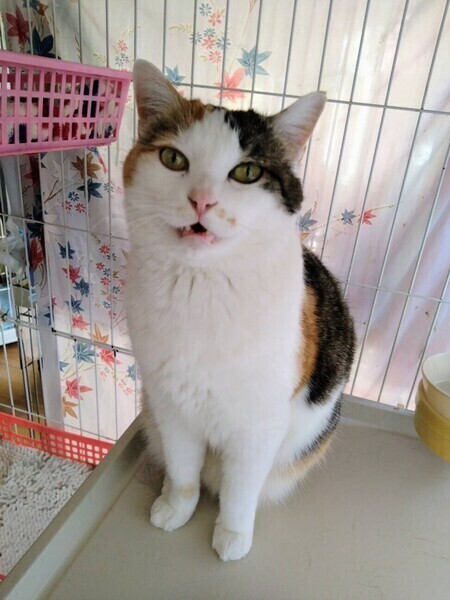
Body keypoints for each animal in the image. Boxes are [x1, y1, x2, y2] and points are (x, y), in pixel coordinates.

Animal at [123, 60, 355, 562]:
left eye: (246, 172)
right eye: (173, 159)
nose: (202, 200)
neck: (202, 288)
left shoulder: (259, 423)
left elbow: (241, 489)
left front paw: (231, 535)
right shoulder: (171, 405)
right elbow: (184, 472)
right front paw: (176, 508)